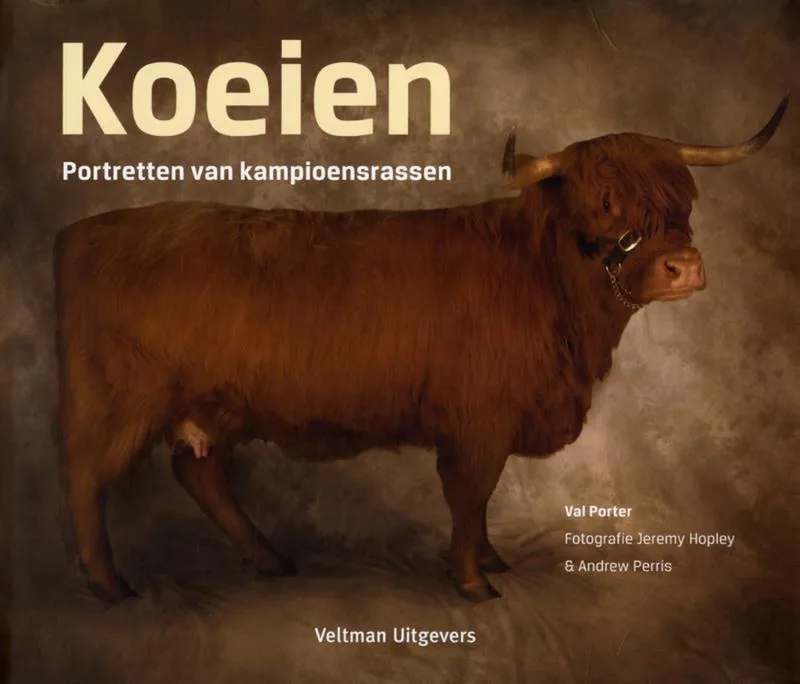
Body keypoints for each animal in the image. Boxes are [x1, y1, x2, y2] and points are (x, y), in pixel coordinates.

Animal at [53, 97, 788, 604]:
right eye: (604, 206)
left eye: (683, 199)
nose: (683, 268)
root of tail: (87, 231)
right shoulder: (478, 422)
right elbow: (468, 496)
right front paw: (473, 582)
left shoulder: (492, 424)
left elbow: (480, 503)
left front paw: (489, 561)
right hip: (114, 402)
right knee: (87, 480)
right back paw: (109, 586)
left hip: (212, 408)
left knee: (199, 474)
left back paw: (270, 560)